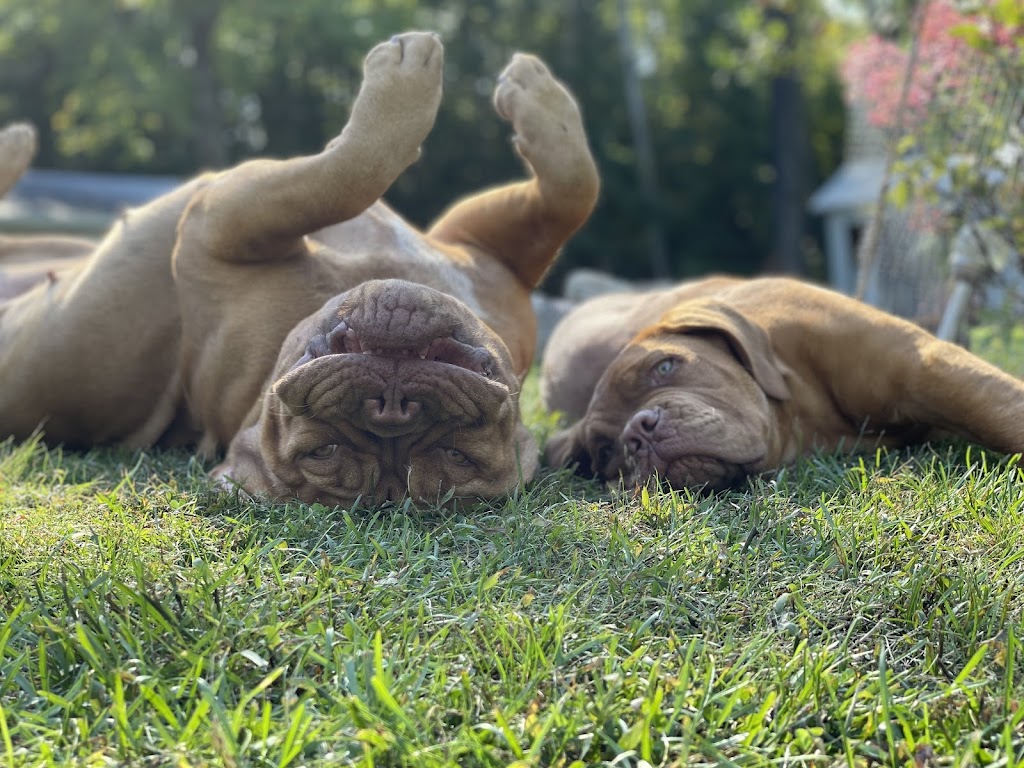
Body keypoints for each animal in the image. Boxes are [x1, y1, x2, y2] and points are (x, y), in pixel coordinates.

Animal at [0, 33, 598, 507]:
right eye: (321, 449)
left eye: (458, 455)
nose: (392, 406)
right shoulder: (481, 247)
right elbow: (570, 189)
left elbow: (345, 177)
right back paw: (17, 143)